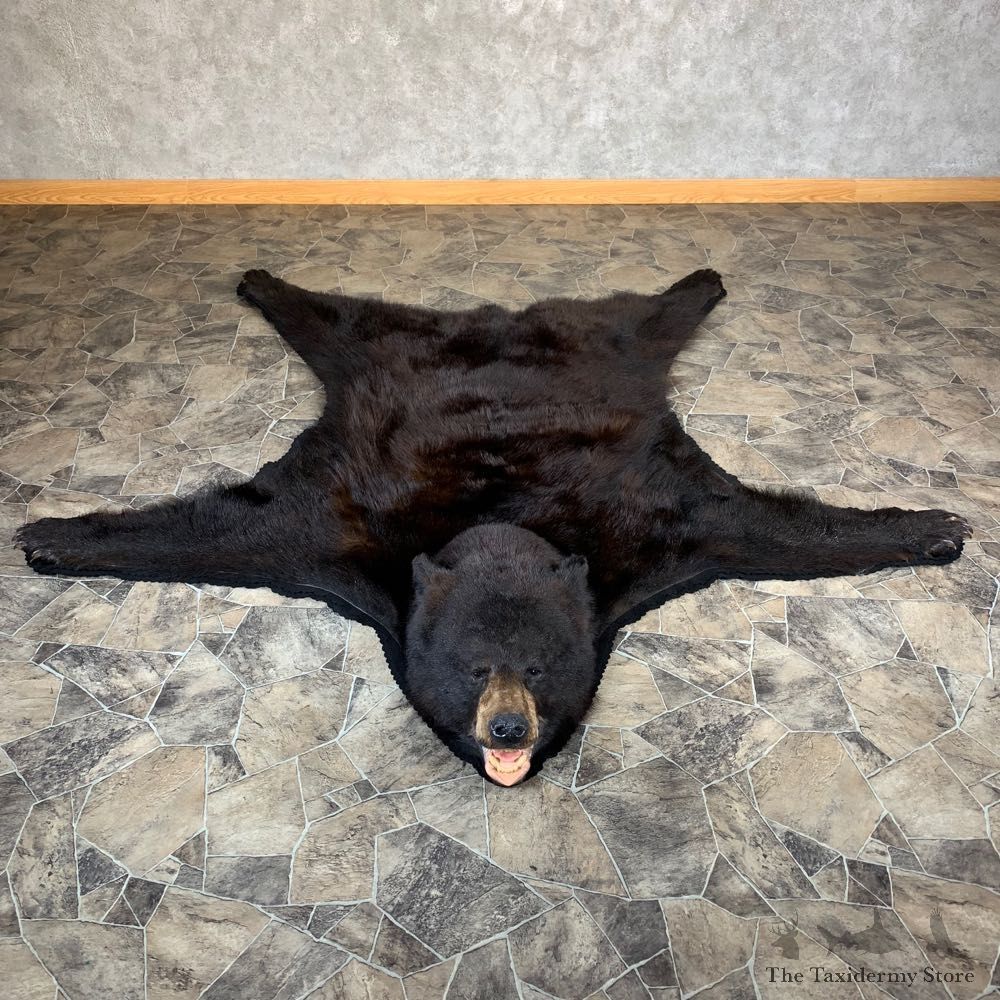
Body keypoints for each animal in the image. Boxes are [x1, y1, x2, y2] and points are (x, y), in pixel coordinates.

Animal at [15, 267, 971, 786]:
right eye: (475, 668)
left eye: (540, 669)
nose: (507, 728)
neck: (501, 525)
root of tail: (497, 320)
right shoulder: (336, 528)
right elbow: (221, 530)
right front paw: (56, 533)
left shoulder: (663, 526)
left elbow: (771, 530)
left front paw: (929, 524)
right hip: (392, 348)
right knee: (335, 318)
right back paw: (263, 282)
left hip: (604, 343)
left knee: (645, 315)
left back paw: (699, 282)